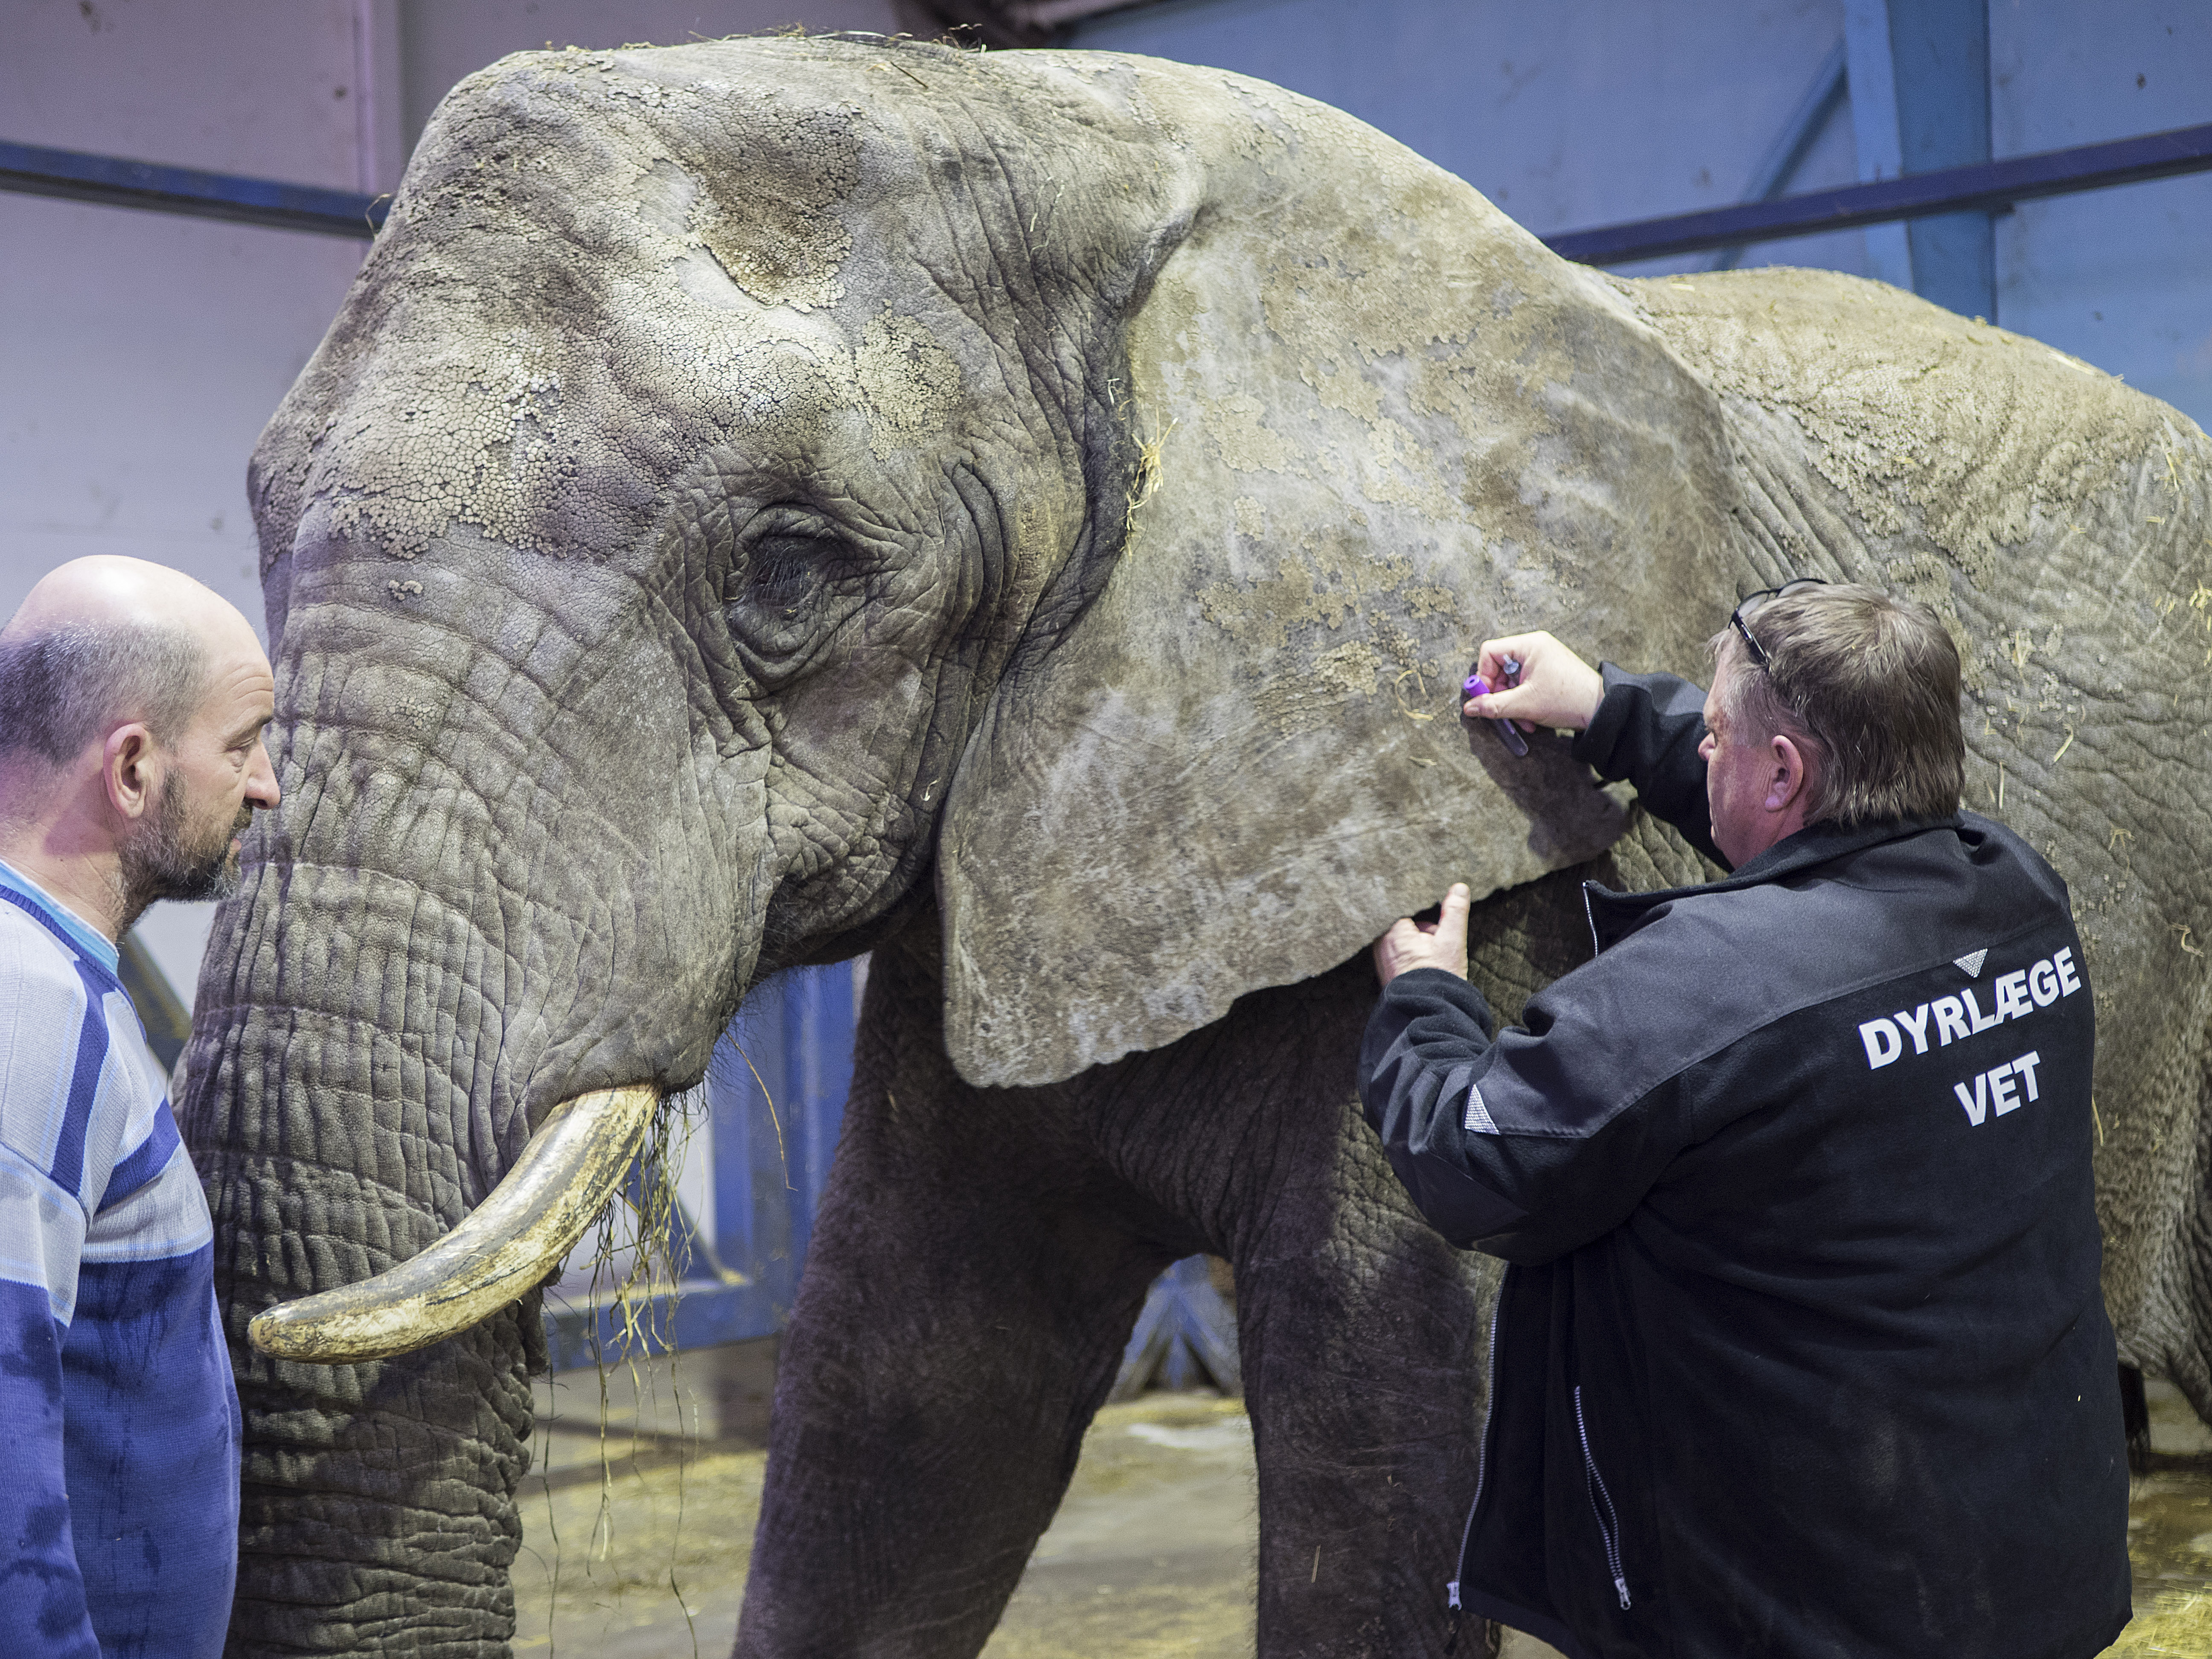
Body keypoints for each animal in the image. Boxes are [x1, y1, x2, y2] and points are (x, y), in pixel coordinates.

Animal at [186, 29, 2212, 1659]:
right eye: (256, 512)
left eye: (789, 570)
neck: (1042, 113)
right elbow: (900, 1394)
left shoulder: (1467, 847)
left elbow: (1391, 1428)